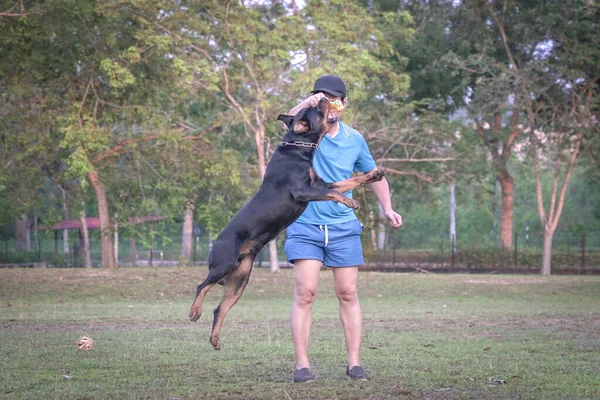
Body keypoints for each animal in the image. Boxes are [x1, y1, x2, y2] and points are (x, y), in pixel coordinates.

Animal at [190, 97, 386, 350]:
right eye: (316, 110)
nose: (323, 98)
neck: (299, 147)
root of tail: (216, 243)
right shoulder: (303, 191)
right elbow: (335, 194)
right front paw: (350, 201)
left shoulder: (322, 184)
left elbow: (349, 181)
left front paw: (373, 175)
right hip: (222, 265)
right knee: (201, 286)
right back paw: (194, 311)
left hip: (239, 281)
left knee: (219, 309)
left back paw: (214, 339)